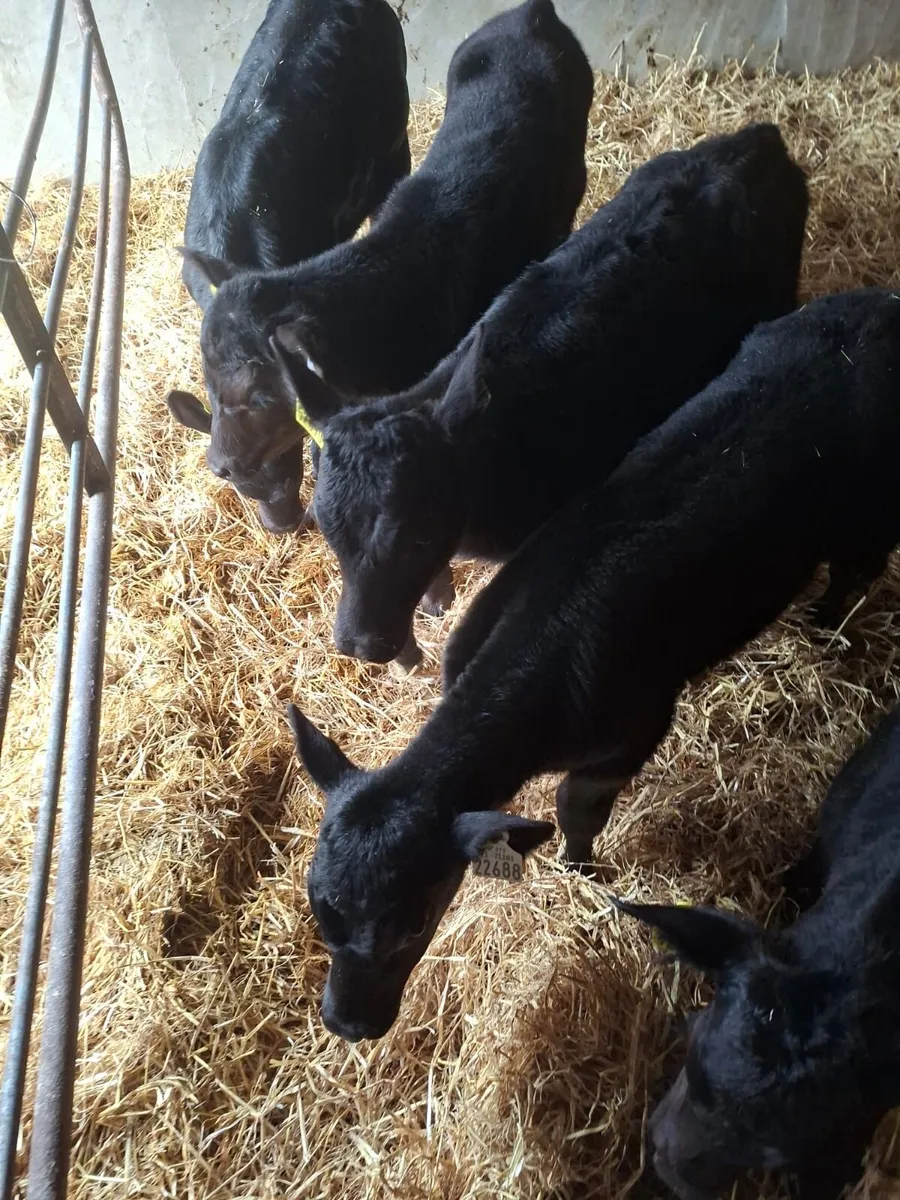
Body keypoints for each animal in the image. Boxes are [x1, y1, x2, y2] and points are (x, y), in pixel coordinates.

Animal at [289, 288, 900, 1040]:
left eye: (411, 924)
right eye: (318, 910)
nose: (346, 1023)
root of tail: (876, 304)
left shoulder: (631, 731)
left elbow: (577, 808)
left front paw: (579, 870)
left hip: (872, 510)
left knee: (856, 568)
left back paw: (825, 623)